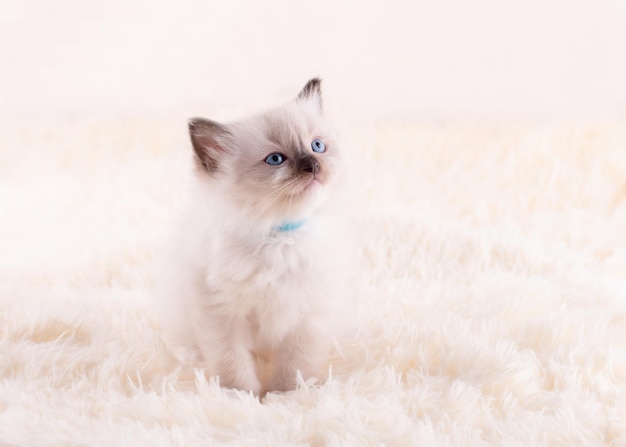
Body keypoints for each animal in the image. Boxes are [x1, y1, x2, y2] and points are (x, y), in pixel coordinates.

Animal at [153, 79, 352, 398]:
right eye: (275, 159)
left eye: (317, 146)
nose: (312, 165)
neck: (280, 237)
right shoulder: (222, 313)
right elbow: (232, 362)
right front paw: (240, 397)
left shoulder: (308, 314)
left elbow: (295, 364)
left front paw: (285, 396)